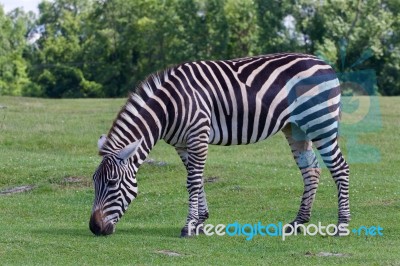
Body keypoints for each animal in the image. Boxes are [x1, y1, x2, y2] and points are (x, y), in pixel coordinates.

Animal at [90, 53, 350, 236]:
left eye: (112, 183)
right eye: (94, 182)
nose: (94, 228)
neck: (168, 108)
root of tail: (325, 64)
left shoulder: (198, 135)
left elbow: (193, 182)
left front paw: (189, 226)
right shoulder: (183, 144)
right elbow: (196, 178)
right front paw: (200, 220)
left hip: (320, 123)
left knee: (340, 168)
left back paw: (342, 226)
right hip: (296, 128)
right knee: (312, 170)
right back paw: (298, 222)